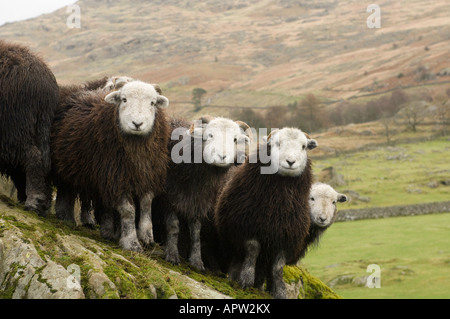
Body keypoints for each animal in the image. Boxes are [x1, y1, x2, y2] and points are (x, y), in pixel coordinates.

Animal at [50, 80, 171, 252]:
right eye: (124, 99)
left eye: (152, 103)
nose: (137, 124)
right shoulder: (116, 177)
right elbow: (128, 210)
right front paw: (131, 242)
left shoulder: (147, 175)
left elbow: (146, 204)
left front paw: (147, 236)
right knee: (66, 190)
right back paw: (63, 216)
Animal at [152, 116, 251, 272]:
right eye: (210, 135)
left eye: (235, 139)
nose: (222, 156)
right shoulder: (168, 198)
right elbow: (173, 226)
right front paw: (172, 255)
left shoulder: (200, 201)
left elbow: (196, 232)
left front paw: (197, 261)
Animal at [214, 127, 316, 300]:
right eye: (277, 143)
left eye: (303, 147)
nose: (290, 162)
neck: (278, 206)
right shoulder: (247, 227)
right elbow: (252, 251)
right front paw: (246, 280)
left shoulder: (286, 237)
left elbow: (278, 267)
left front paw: (280, 291)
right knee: (237, 259)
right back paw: (234, 278)